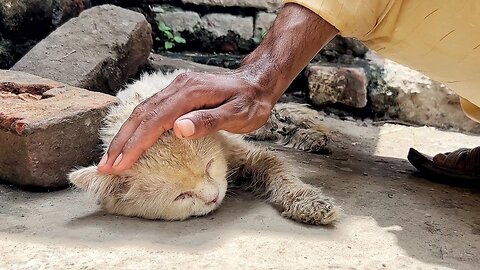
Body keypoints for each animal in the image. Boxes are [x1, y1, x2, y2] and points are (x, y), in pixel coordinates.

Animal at [69, 70, 340, 226]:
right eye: (181, 196)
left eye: (209, 166)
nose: (214, 197)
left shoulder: (246, 152)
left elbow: (278, 169)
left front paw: (308, 201)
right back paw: (307, 137)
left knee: (276, 112)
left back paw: (312, 128)